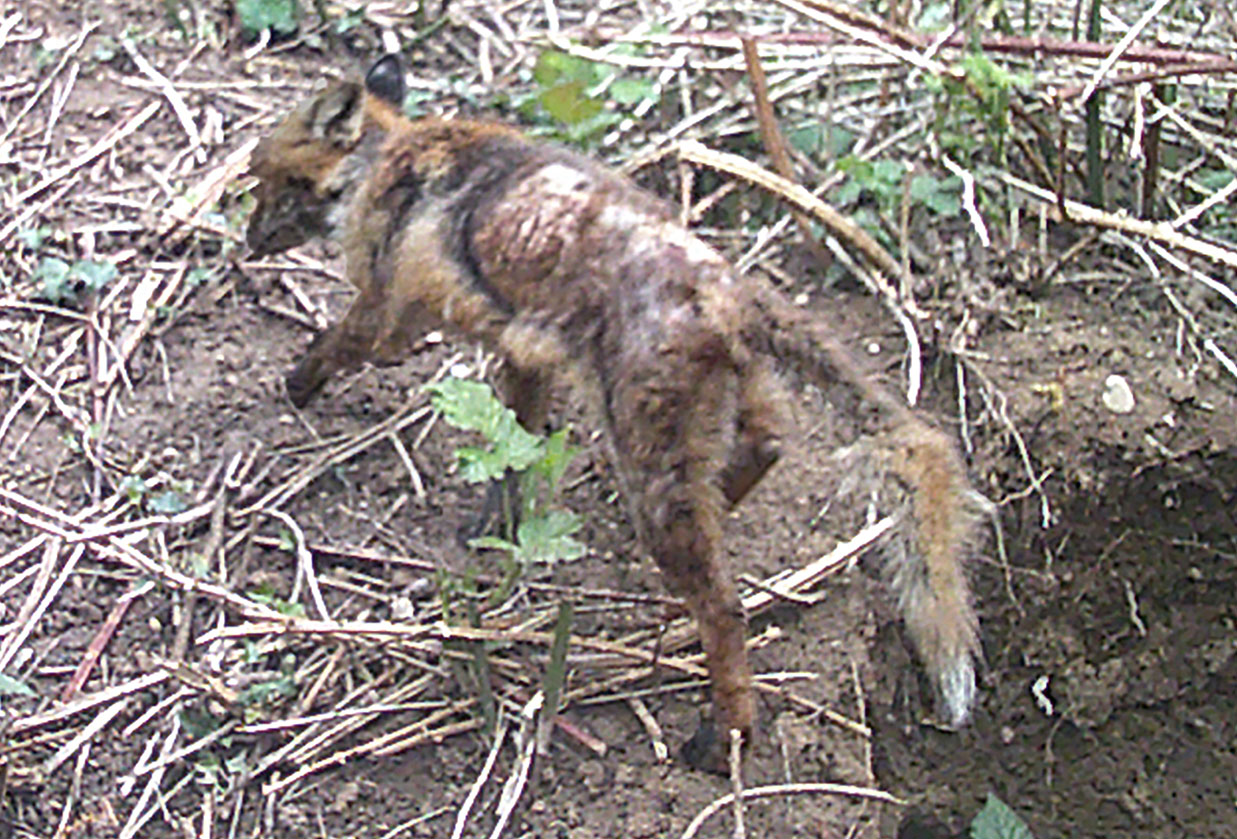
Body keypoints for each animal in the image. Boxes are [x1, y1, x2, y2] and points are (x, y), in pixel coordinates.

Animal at [246, 52, 979, 762]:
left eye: (261, 179)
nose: (247, 242)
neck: (391, 158)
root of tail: (727, 289)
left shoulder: (388, 316)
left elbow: (331, 345)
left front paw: (294, 385)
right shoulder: (524, 349)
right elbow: (514, 452)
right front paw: (495, 526)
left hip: (651, 463)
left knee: (726, 608)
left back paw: (725, 735)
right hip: (719, 412)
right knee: (769, 442)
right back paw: (716, 508)